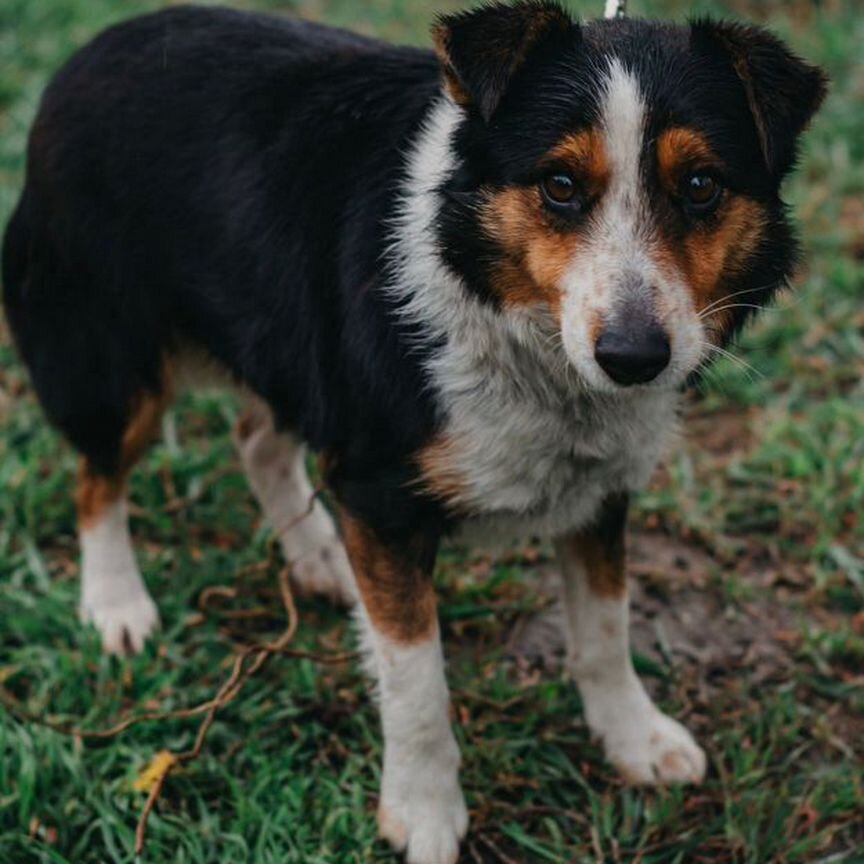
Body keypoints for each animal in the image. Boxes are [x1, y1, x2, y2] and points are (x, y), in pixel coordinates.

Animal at [0, 3, 824, 860]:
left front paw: (633, 739)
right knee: (98, 476)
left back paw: (319, 558)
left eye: (700, 187)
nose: (634, 358)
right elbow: (416, 679)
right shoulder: (380, 494)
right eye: (560, 185)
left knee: (257, 441)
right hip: (107, 353)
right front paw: (424, 811)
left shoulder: (601, 489)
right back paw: (116, 604)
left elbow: (604, 628)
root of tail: (91, 52)